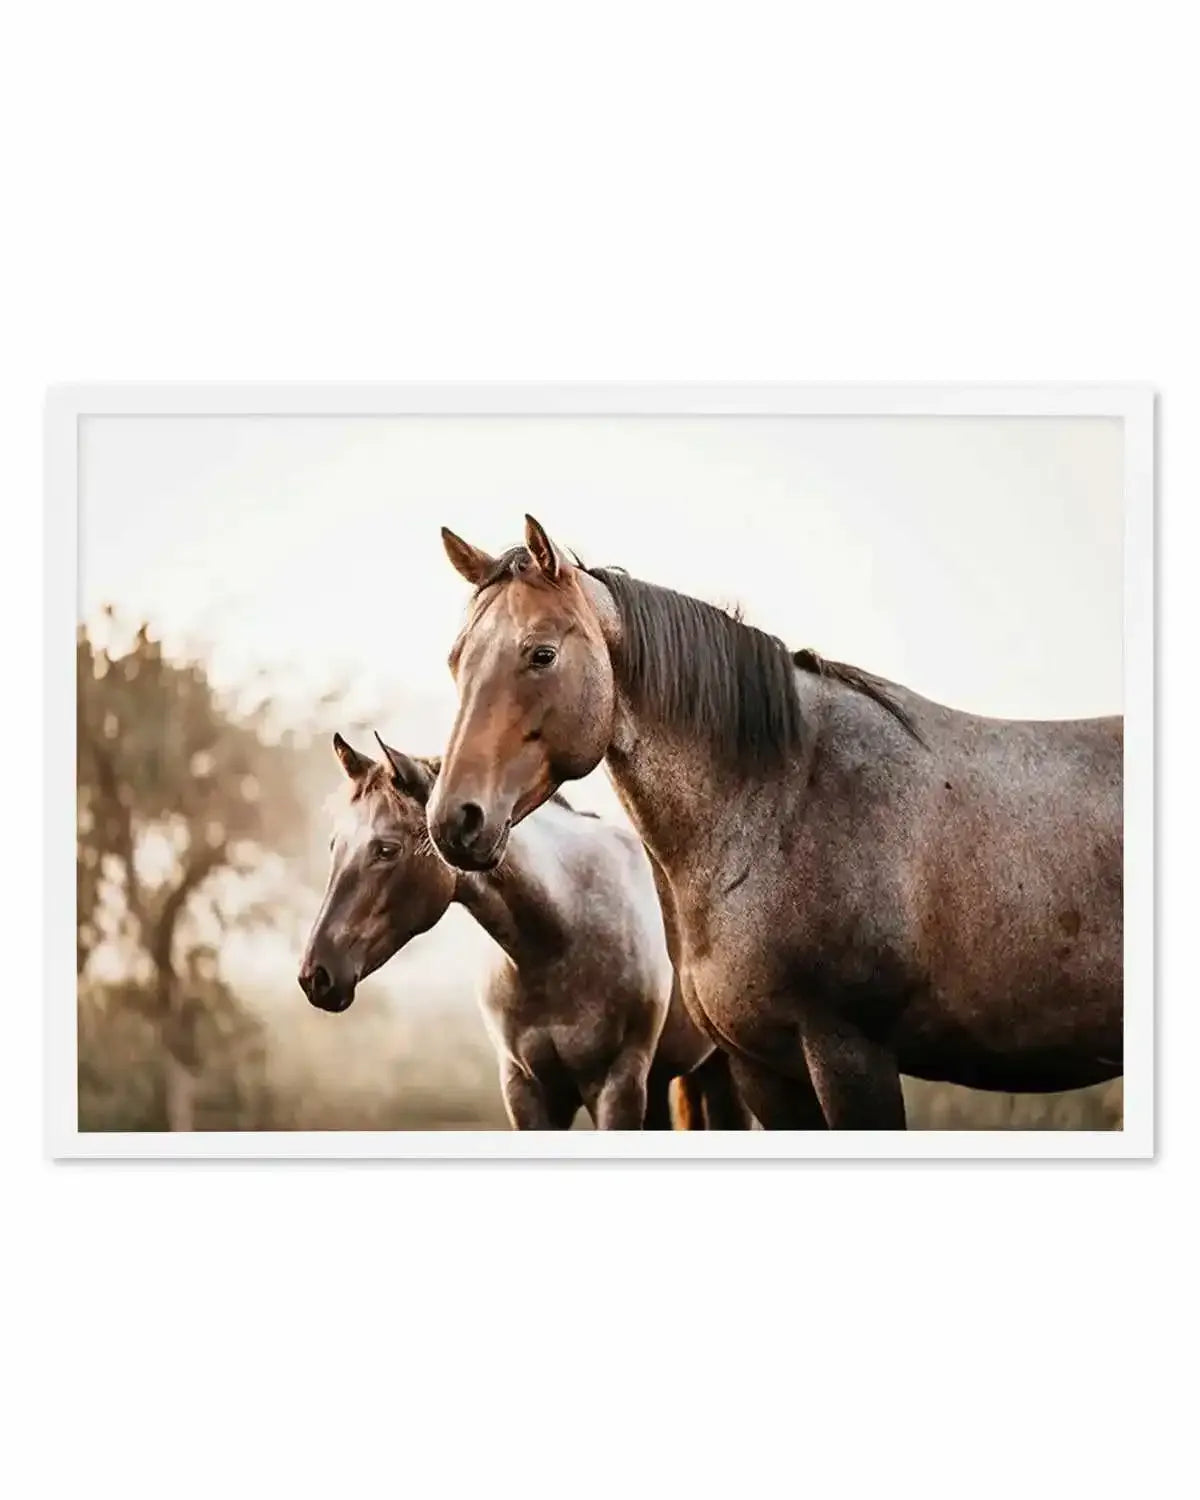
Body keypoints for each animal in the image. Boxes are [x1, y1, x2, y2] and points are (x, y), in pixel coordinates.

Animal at [298, 732, 751, 1130]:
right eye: (335, 845)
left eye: (386, 849)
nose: (315, 976)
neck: (559, 940)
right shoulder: (527, 1089)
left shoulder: (616, 1085)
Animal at [425, 514, 1123, 1130]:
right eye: (456, 660)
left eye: (541, 654)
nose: (454, 819)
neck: (783, 805)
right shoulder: (762, 1067)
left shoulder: (852, 1054)